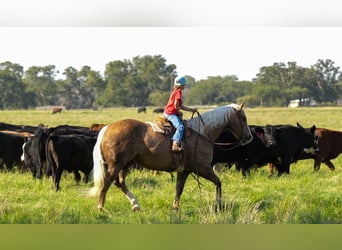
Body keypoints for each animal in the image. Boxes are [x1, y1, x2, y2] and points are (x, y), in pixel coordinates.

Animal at [89, 103, 252, 211]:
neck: (203, 133)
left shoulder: (184, 171)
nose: (249, 137)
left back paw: (135, 205)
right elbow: (218, 182)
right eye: (243, 118)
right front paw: (219, 204)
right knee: (107, 183)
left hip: (126, 164)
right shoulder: (203, 168)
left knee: (120, 183)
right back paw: (101, 208)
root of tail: (107, 128)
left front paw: (175, 207)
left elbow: (179, 188)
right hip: (116, 165)